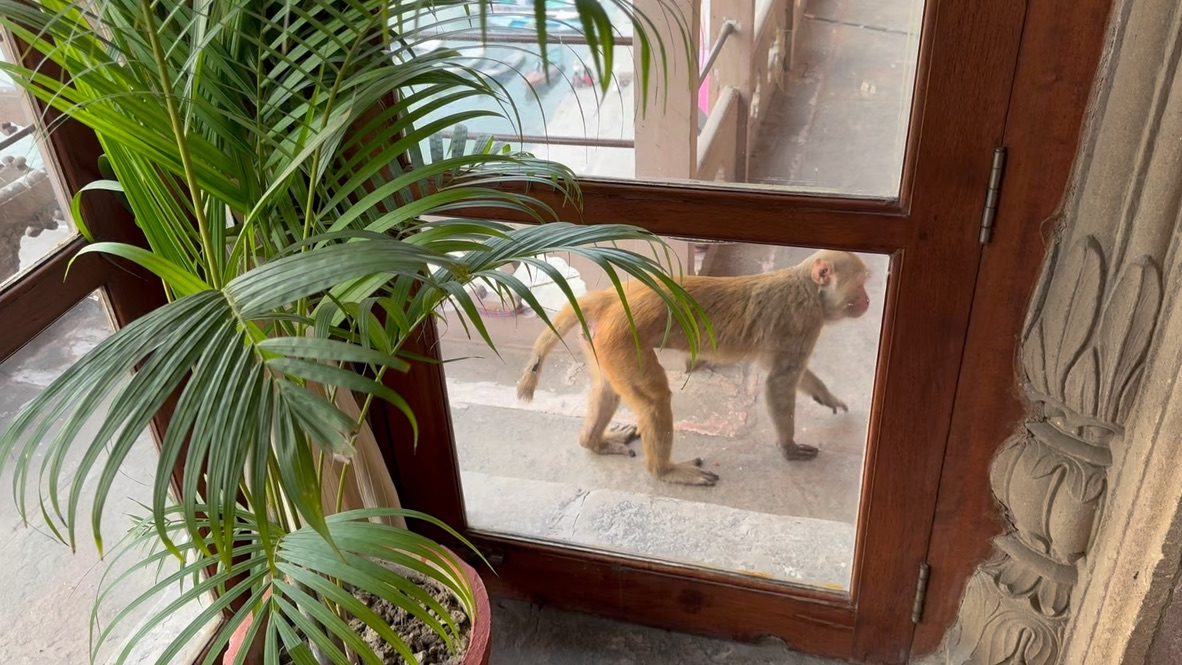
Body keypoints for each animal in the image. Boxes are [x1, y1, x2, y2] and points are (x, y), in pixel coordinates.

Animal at [512, 250, 874, 489]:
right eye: (860, 284)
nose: (869, 301)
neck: (806, 287)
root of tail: (611, 298)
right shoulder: (804, 321)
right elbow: (779, 383)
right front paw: (789, 446)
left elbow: (778, 371)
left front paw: (826, 395)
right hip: (622, 337)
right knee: (655, 399)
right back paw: (664, 471)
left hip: (601, 341)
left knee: (608, 388)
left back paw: (593, 442)